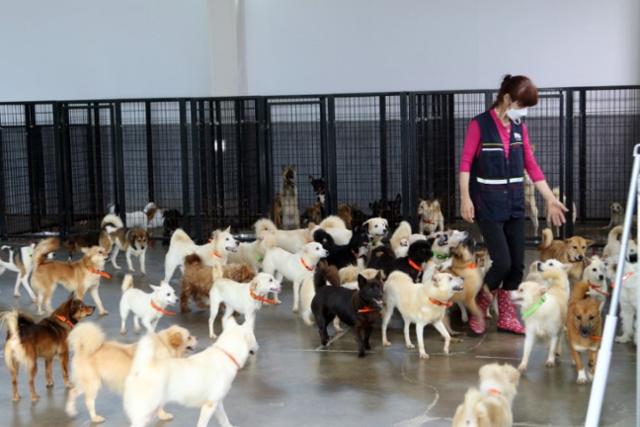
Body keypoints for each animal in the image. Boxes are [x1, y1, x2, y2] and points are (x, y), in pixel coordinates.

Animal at [65, 324, 196, 424]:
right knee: (89, 402)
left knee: (72, 392)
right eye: (189, 337)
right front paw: (162, 415)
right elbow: (158, 404)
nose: (196, 337)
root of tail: (82, 348)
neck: (165, 346)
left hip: (86, 383)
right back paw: (95, 418)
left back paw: (71, 411)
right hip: (93, 384)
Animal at [122, 316, 258, 427]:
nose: (258, 347)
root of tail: (142, 368)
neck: (226, 353)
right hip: (145, 412)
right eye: (255, 338)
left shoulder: (217, 404)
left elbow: (225, 420)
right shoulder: (209, 406)